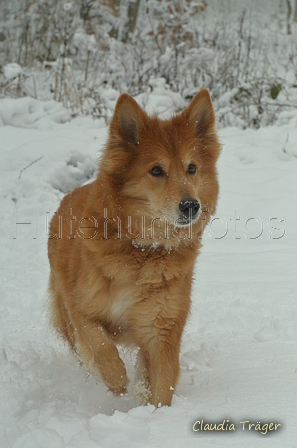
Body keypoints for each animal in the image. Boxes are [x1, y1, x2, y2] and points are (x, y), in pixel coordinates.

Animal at [48, 89, 220, 408]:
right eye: (156, 170)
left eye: (192, 168)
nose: (191, 205)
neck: (142, 251)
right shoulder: (80, 306)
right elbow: (99, 342)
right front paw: (116, 378)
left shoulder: (162, 329)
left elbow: (162, 383)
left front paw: (156, 414)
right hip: (65, 315)